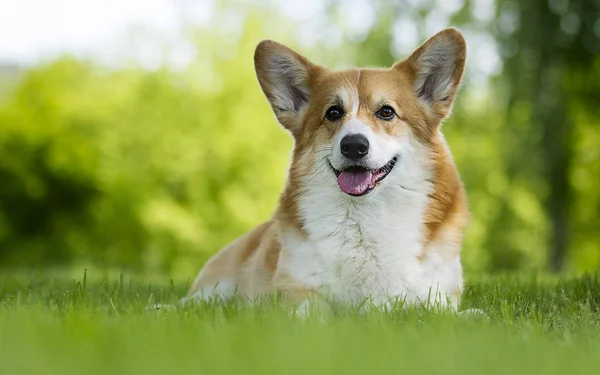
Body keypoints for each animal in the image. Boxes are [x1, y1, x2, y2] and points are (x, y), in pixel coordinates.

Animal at [185, 27, 472, 312]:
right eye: (333, 113)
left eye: (387, 112)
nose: (354, 146)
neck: (364, 217)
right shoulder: (297, 289)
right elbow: (314, 311)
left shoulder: (439, 297)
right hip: (214, 288)